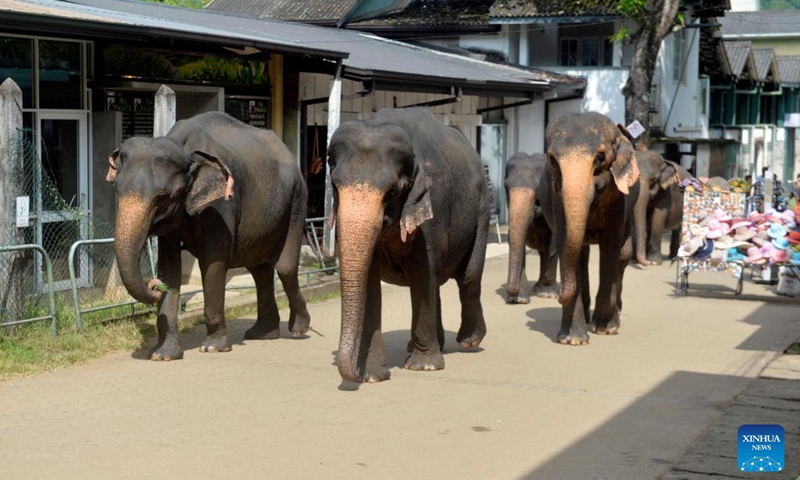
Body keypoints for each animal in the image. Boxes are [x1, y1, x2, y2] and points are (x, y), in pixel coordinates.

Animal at [108, 111, 312, 360]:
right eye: (117, 189)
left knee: (284, 268)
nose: (154, 286)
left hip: (296, 200)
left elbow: (213, 261)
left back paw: (298, 329)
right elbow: (169, 266)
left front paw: (214, 347)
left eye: (163, 197)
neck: (185, 148)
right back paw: (262, 333)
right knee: (259, 269)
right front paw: (163, 354)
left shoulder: (222, 205)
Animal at [324, 108, 488, 382]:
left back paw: (469, 341)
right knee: (438, 284)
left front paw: (424, 367)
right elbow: (370, 281)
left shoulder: (434, 208)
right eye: (335, 187)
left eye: (391, 193)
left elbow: (422, 272)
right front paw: (371, 375)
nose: (352, 373)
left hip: (482, 210)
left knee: (468, 278)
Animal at [540, 112, 640, 344]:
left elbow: (610, 247)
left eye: (601, 157)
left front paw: (604, 328)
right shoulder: (557, 199)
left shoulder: (618, 198)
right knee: (582, 254)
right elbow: (567, 245)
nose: (557, 293)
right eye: (552, 159)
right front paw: (572, 340)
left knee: (623, 256)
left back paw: (612, 318)